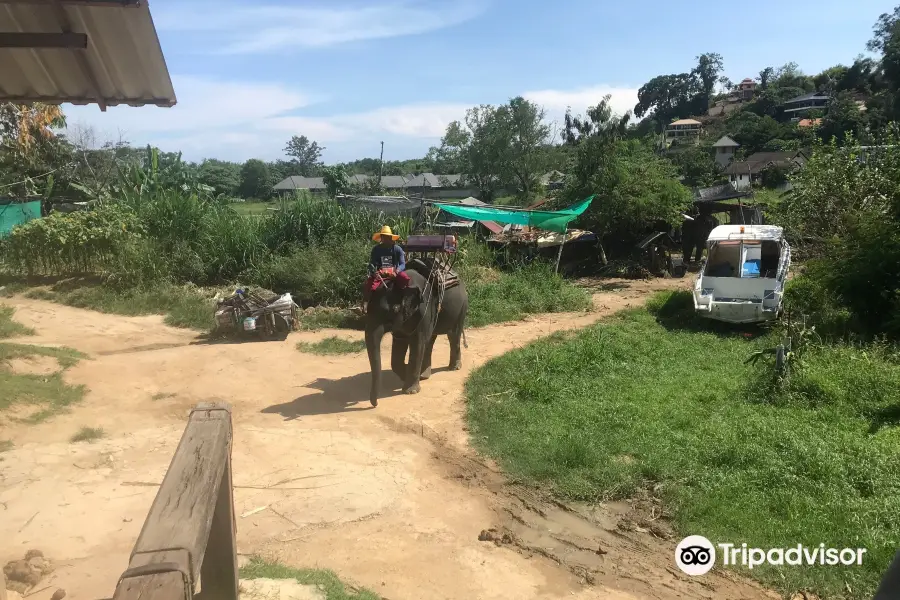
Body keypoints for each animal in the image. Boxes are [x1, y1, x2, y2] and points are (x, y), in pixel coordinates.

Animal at [362, 260, 468, 406]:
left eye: (394, 310)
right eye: (367, 309)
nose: (375, 404)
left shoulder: (424, 309)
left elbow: (418, 342)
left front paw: (410, 391)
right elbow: (400, 344)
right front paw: (405, 375)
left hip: (461, 308)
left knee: (453, 335)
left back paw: (454, 368)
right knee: (430, 340)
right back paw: (424, 375)